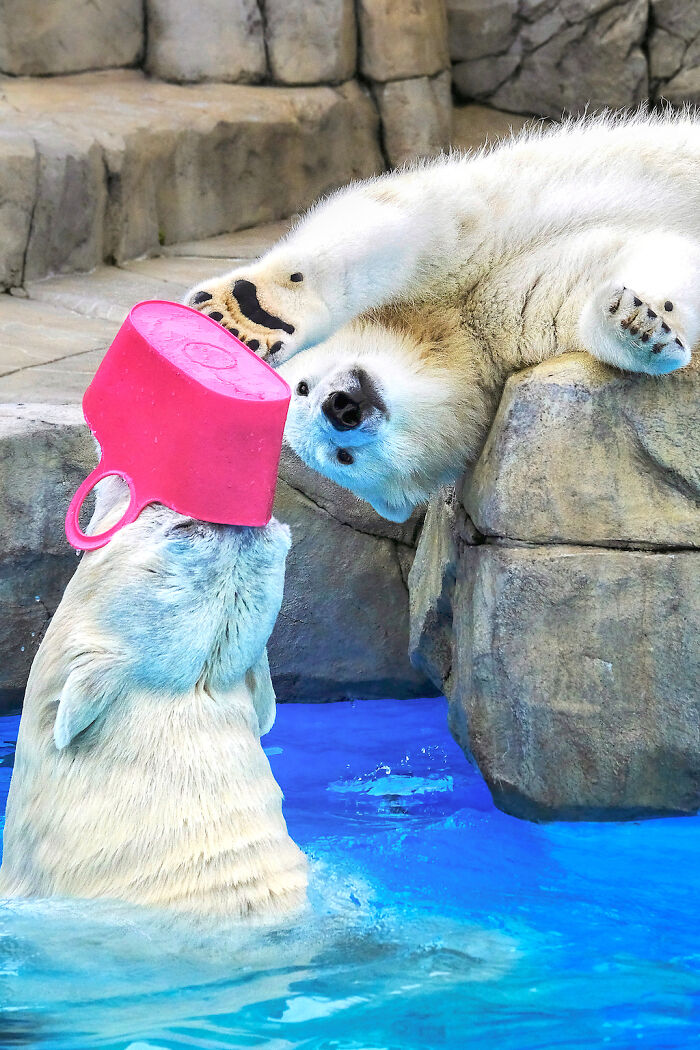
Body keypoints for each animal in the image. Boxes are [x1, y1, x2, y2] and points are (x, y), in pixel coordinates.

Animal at [185, 112, 700, 522]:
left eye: (302, 387)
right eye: (343, 458)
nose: (341, 407)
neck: (444, 331)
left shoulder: (461, 245)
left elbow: (396, 226)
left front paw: (250, 314)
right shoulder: (503, 323)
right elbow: (590, 276)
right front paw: (644, 328)